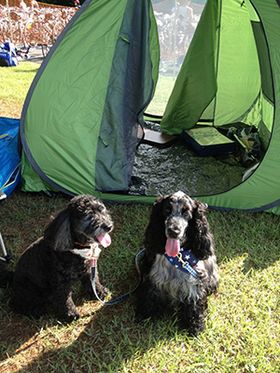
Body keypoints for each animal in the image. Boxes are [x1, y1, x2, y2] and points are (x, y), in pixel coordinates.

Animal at [136, 192, 219, 334]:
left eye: (186, 212)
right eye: (167, 210)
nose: (173, 231)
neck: (178, 257)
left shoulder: (195, 282)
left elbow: (194, 303)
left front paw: (196, 326)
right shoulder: (154, 279)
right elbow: (150, 296)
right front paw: (144, 313)